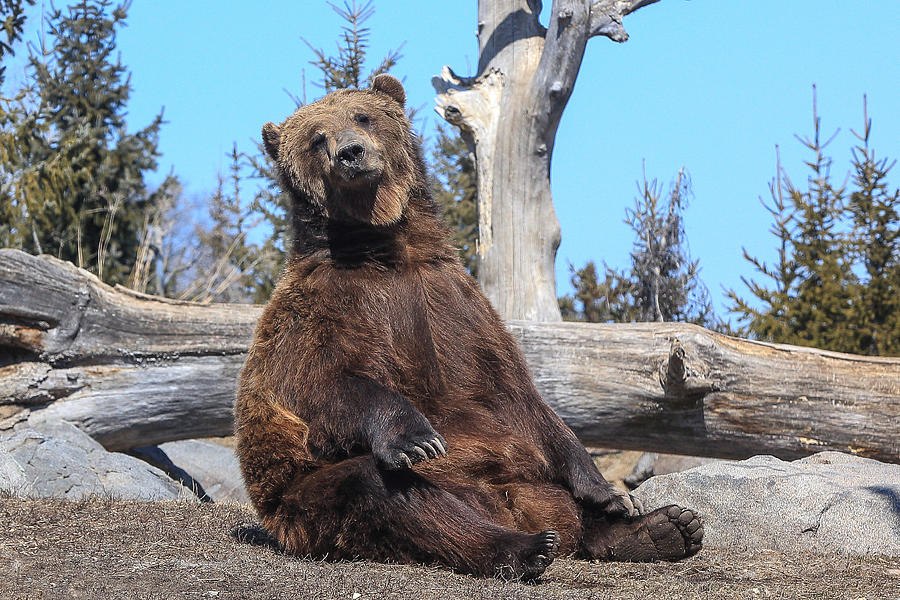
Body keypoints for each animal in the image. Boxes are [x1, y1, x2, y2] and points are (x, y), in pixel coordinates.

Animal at [234, 75, 704, 580]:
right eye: (316, 138)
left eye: (363, 116)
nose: (351, 152)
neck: (386, 249)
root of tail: (516, 510)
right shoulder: (323, 310)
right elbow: (321, 381)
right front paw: (417, 439)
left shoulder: (457, 306)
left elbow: (517, 395)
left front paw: (606, 490)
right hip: (307, 502)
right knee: (391, 495)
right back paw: (527, 546)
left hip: (531, 483)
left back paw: (663, 527)